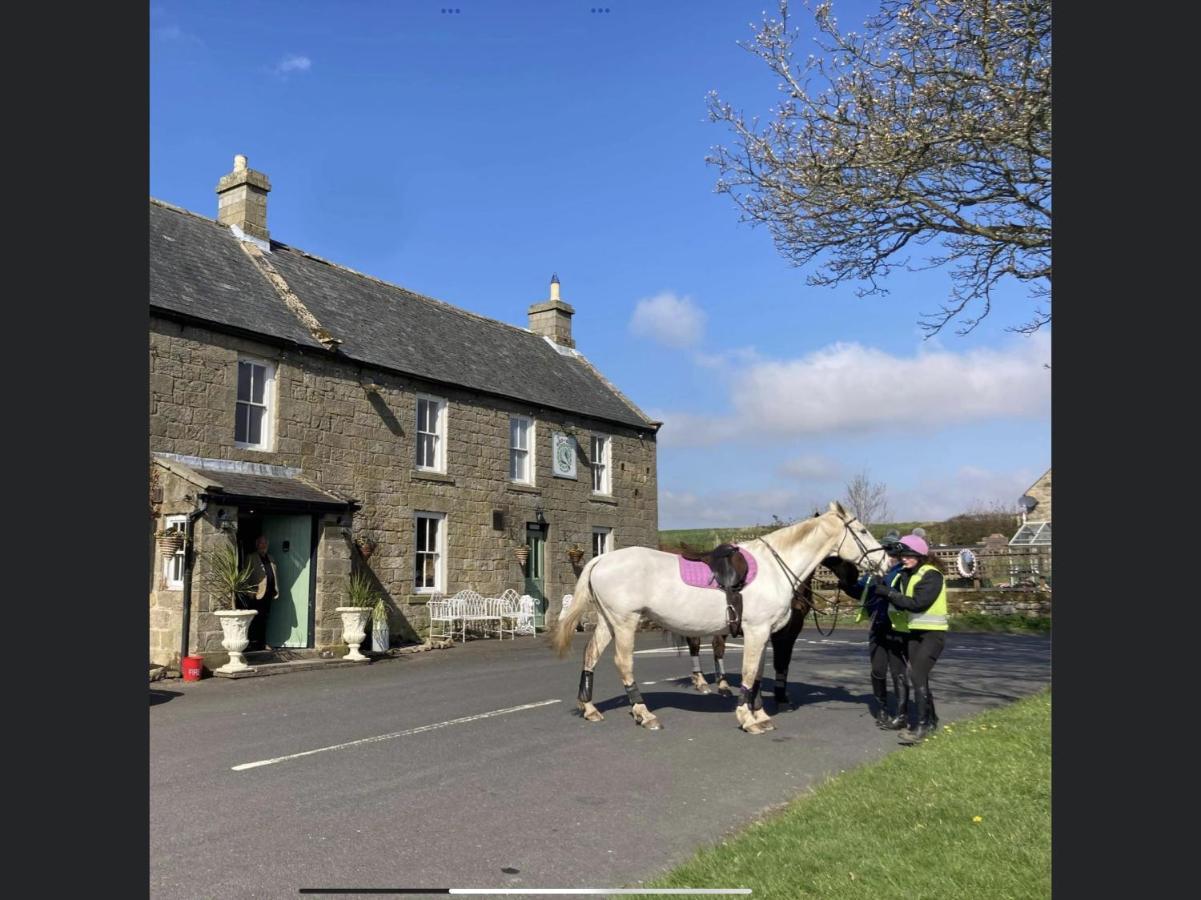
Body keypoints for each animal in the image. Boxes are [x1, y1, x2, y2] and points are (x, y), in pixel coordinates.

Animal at [554, 502, 893, 735]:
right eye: (863, 531)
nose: (887, 561)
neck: (773, 568)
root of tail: (601, 559)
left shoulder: (764, 634)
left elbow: (757, 674)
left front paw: (760, 715)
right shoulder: (756, 631)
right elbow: (748, 673)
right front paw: (747, 718)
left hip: (608, 622)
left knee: (590, 656)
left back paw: (589, 708)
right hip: (625, 623)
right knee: (623, 664)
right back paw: (644, 714)